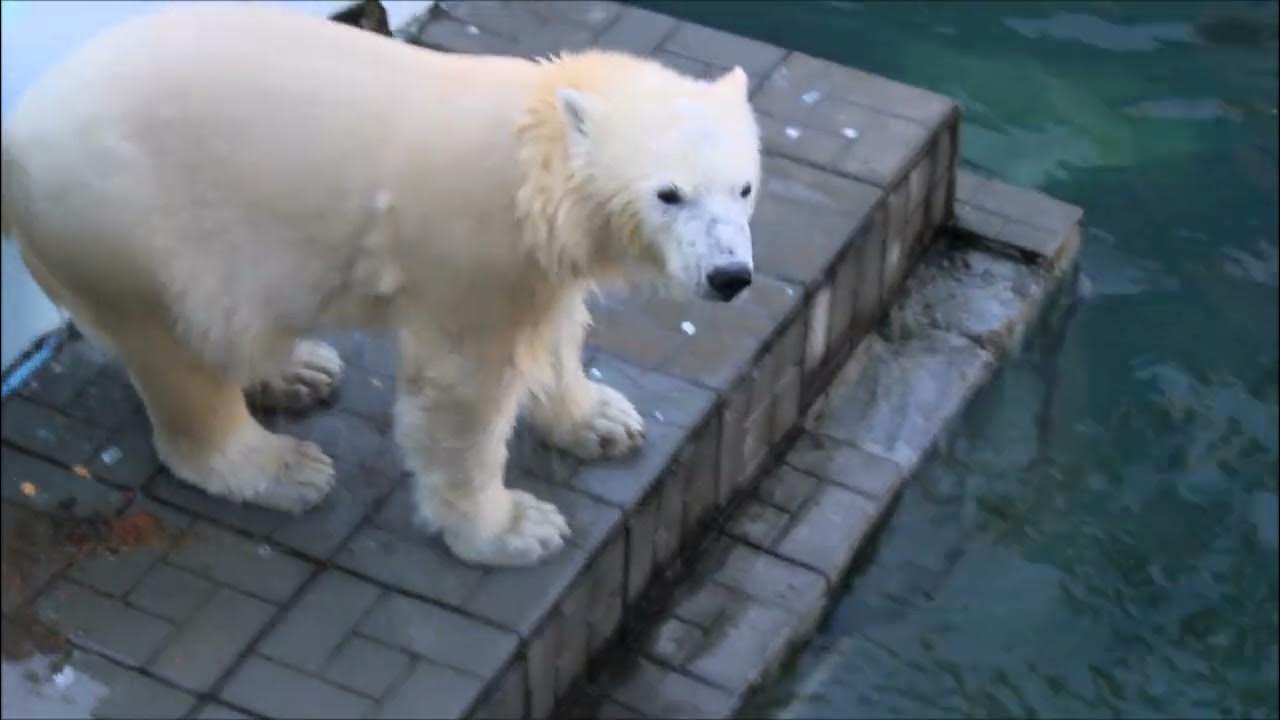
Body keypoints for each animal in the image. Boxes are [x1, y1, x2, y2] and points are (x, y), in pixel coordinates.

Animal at [2, 4, 757, 566]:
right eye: (669, 193)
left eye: (745, 187)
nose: (731, 276)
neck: (534, 150)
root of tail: (16, 137)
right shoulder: (474, 254)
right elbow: (462, 397)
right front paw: (512, 528)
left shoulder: (538, 257)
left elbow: (554, 329)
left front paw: (600, 419)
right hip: (131, 222)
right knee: (180, 347)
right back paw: (283, 467)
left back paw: (297, 371)